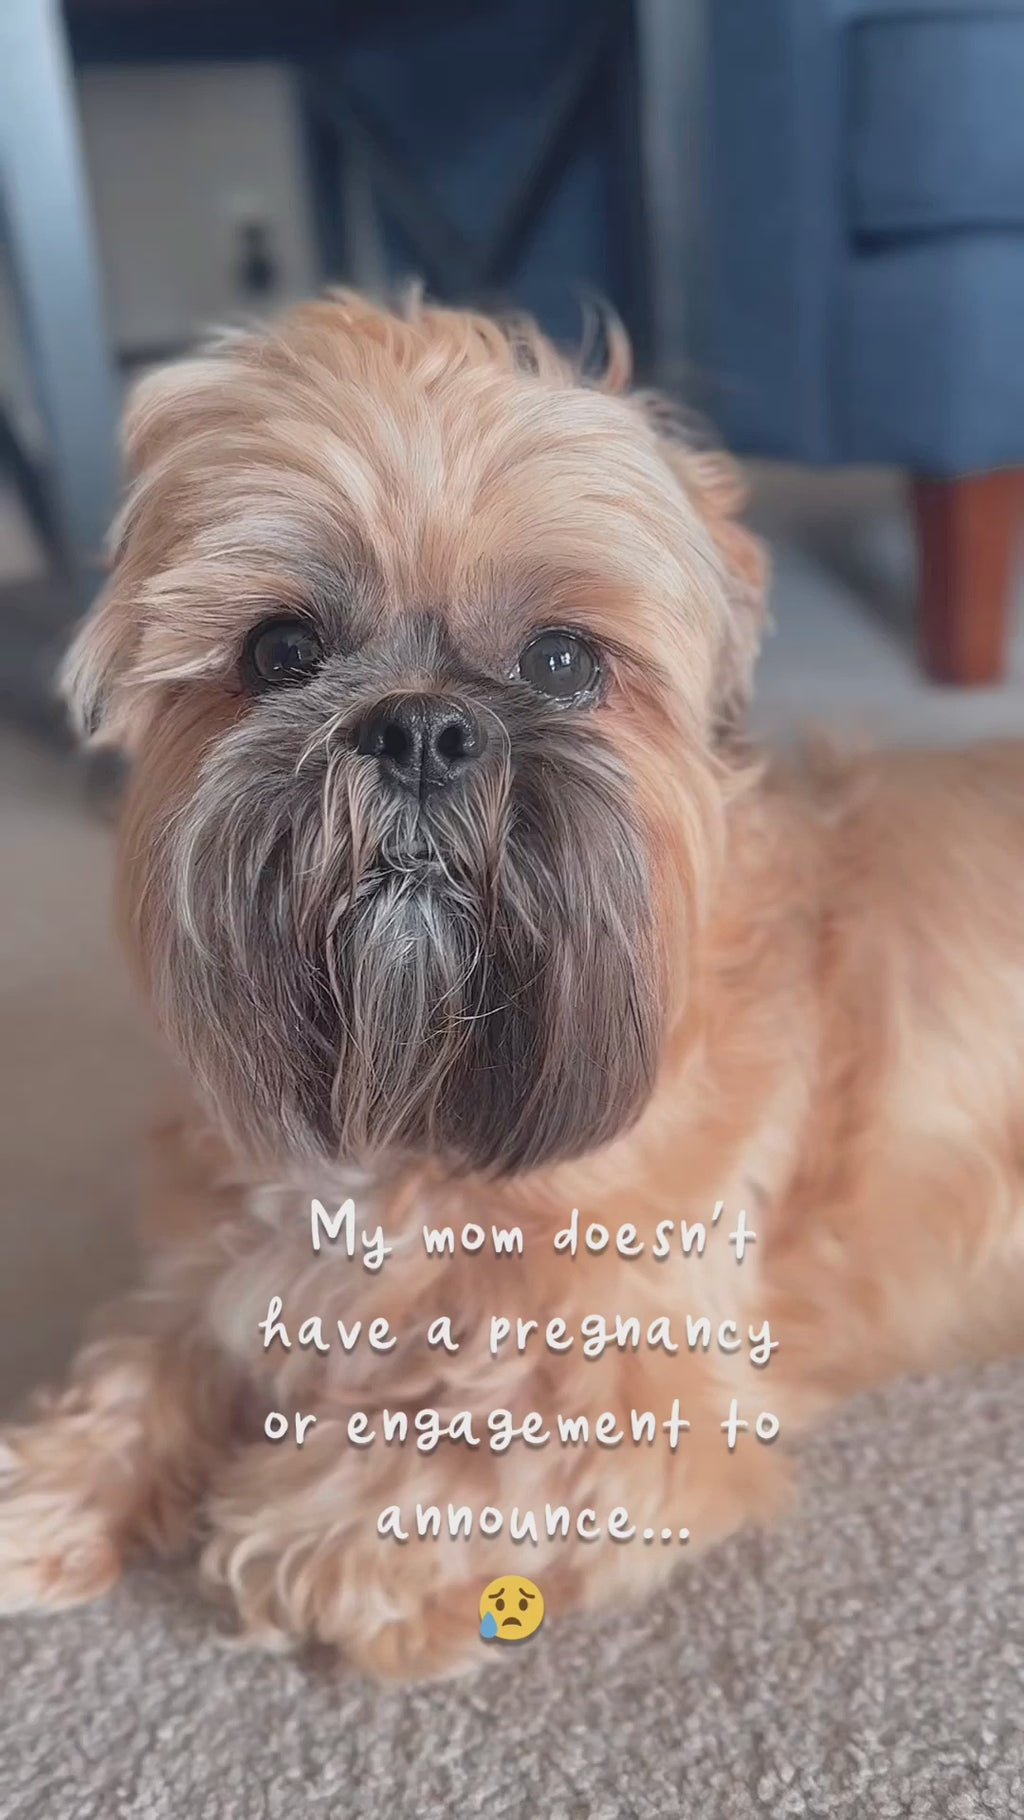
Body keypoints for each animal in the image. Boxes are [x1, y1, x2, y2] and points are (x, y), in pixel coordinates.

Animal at [2, 294, 1024, 1674]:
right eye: (280, 649)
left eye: (561, 662)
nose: (420, 728)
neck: (413, 1123)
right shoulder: (215, 1270)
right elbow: (139, 1366)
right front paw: (51, 1483)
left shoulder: (645, 1398)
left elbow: (422, 1479)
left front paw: (300, 1518)